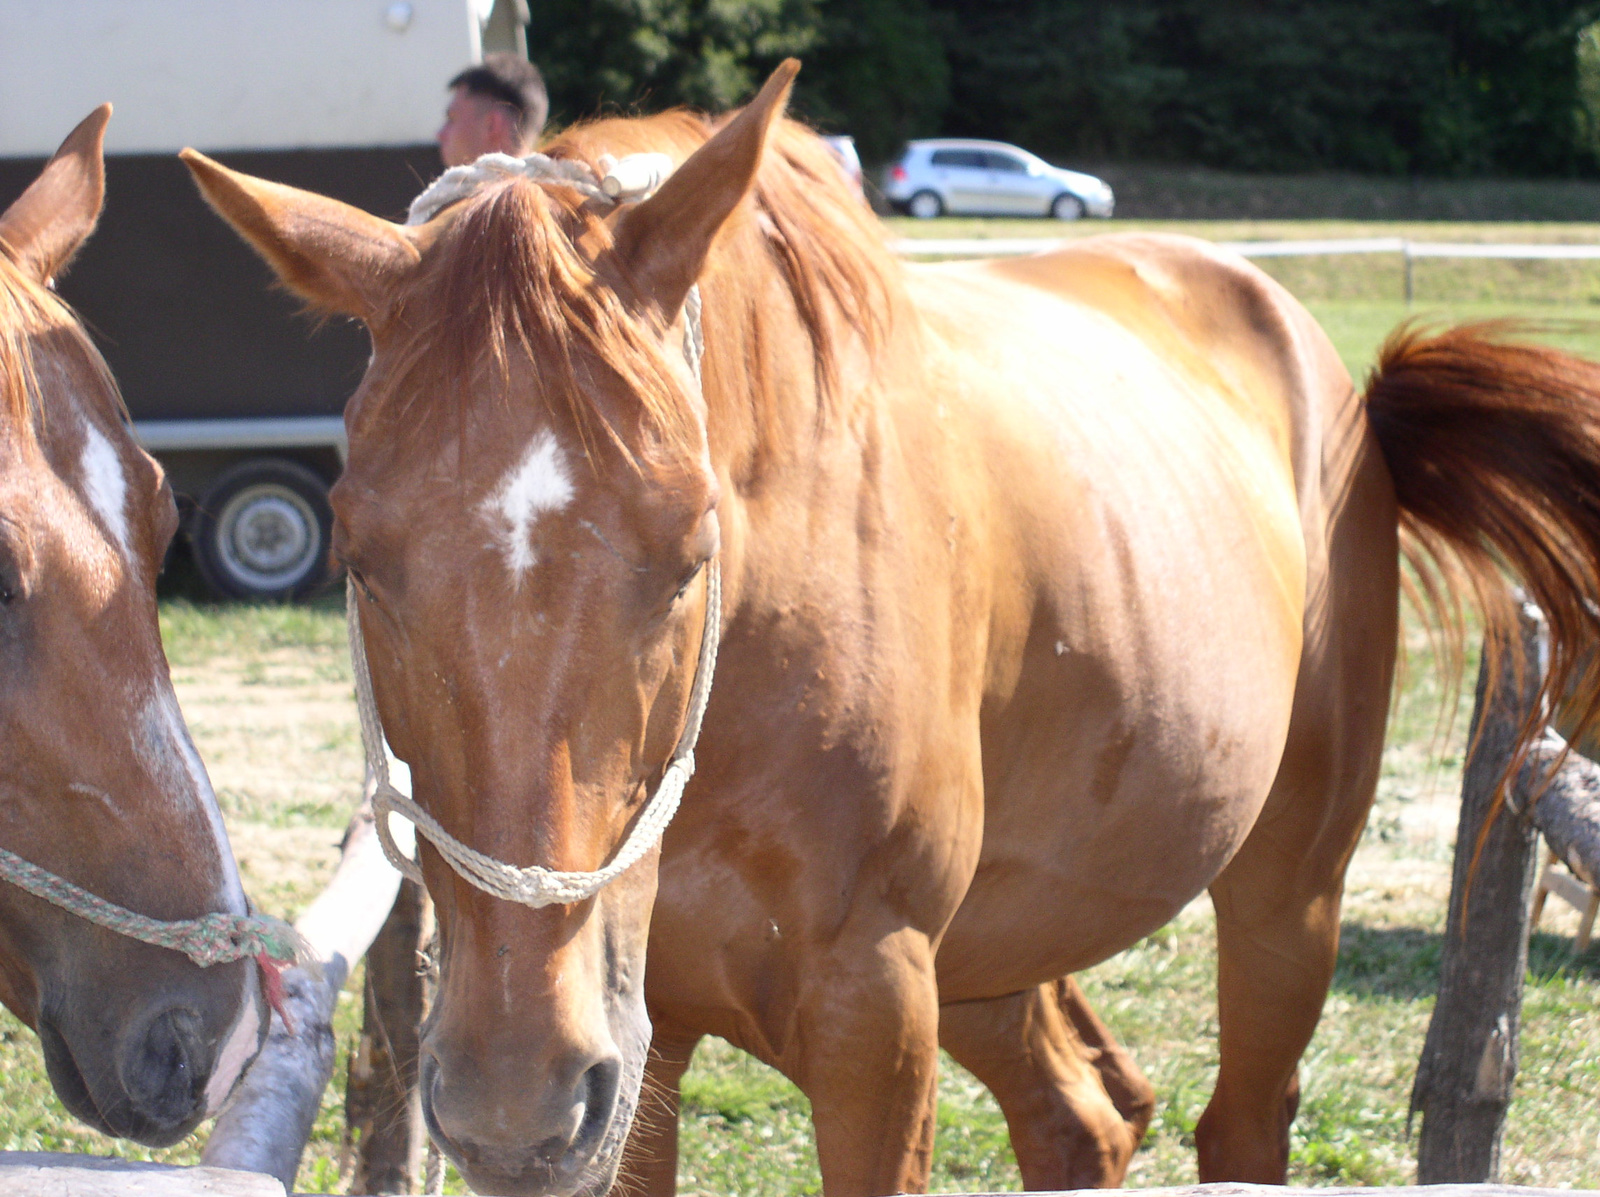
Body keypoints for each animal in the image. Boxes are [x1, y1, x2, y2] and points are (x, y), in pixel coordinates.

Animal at [184, 63, 1600, 1197]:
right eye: (361, 557)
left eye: (691, 549)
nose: (512, 1101)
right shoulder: (651, 1053)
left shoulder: (873, 1019)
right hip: (993, 957)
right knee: (1087, 1115)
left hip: (1282, 899)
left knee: (1236, 1123)